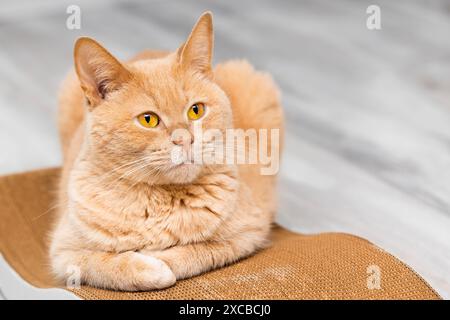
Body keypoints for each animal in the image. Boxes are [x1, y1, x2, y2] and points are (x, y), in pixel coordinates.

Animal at [51, 11, 284, 290]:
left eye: (196, 110)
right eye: (148, 119)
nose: (185, 140)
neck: (160, 200)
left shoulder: (248, 233)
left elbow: (198, 250)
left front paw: (161, 260)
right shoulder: (64, 252)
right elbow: (102, 263)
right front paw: (145, 267)